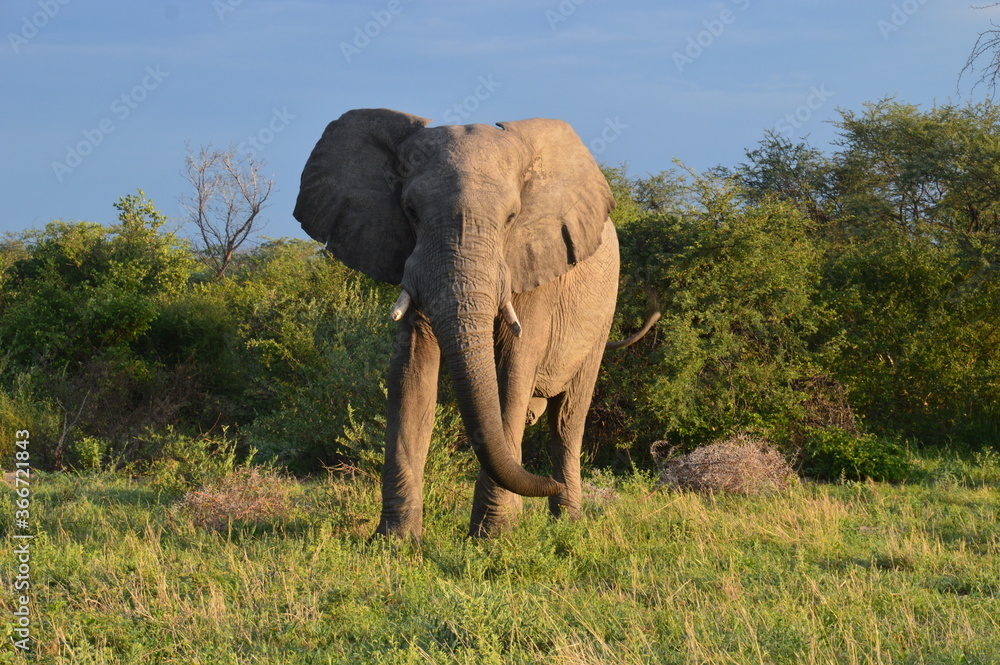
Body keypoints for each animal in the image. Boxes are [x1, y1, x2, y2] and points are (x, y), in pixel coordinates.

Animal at [294, 108, 648, 539]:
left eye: (512, 217)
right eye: (410, 212)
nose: (544, 482)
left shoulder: (532, 265)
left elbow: (512, 374)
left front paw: (493, 536)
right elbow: (410, 374)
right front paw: (396, 541)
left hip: (602, 314)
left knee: (567, 419)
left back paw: (567, 520)